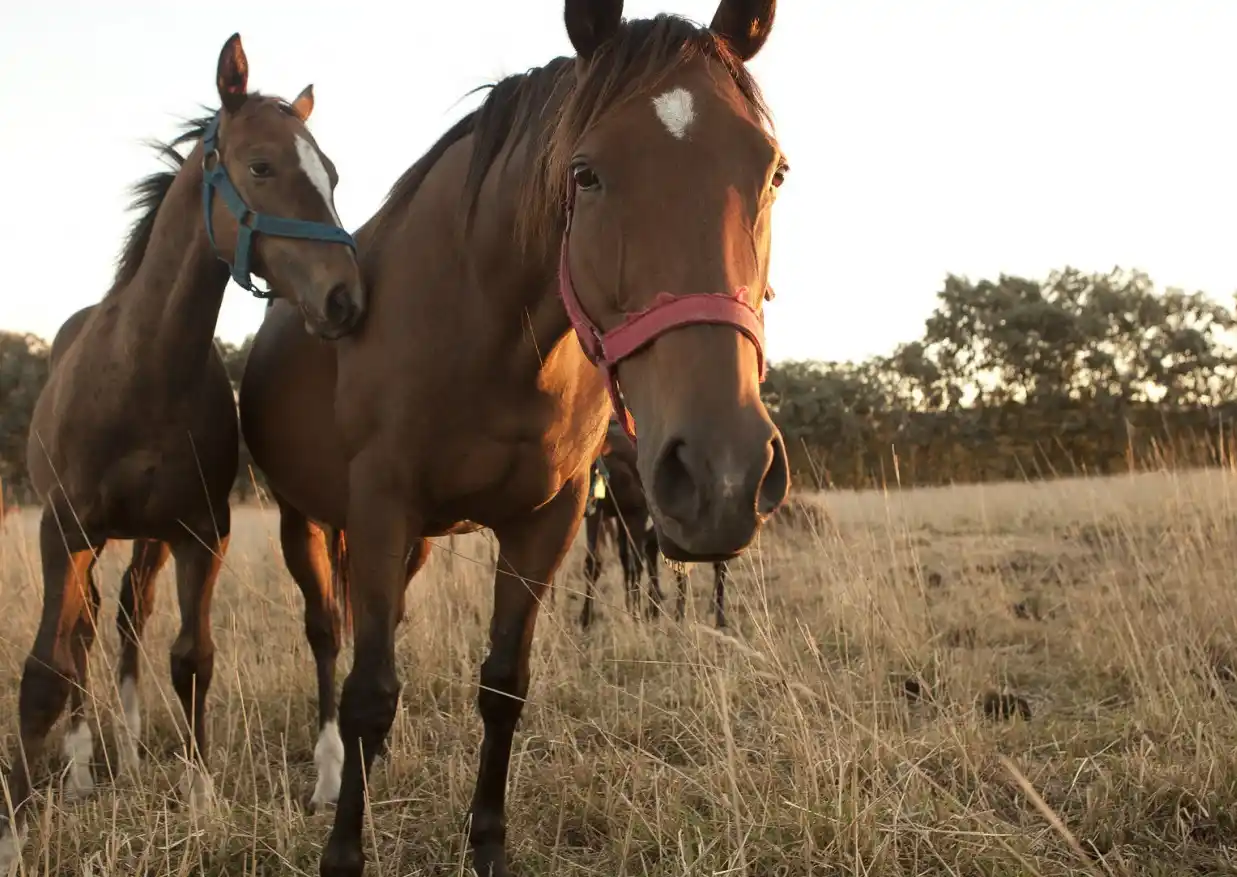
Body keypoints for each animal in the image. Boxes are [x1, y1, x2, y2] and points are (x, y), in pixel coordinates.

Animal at [0, 34, 364, 868]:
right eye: (262, 165)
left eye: (330, 173)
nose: (346, 298)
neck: (142, 369)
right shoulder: (61, 530)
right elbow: (46, 669)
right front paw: (14, 829)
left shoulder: (202, 532)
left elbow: (192, 657)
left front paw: (199, 795)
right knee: (87, 631)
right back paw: (81, 769)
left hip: (149, 540)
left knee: (130, 615)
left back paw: (130, 752)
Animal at [581, 422, 732, 629]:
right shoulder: (602, 515)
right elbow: (595, 563)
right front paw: (585, 620)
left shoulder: (636, 515)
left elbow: (635, 564)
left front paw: (636, 616)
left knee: (715, 563)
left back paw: (714, 617)